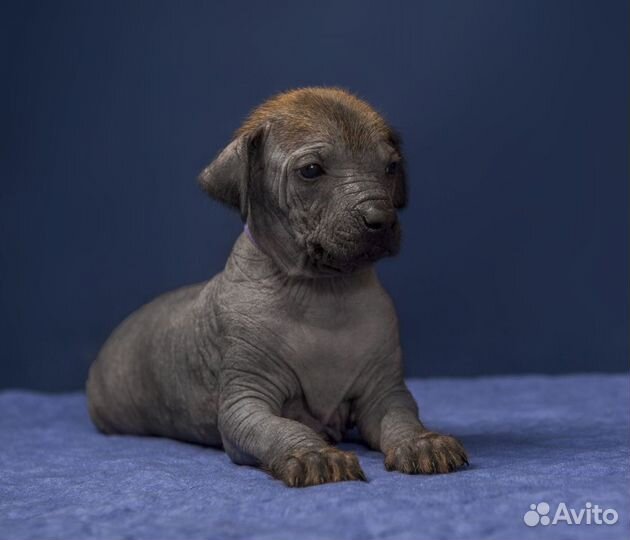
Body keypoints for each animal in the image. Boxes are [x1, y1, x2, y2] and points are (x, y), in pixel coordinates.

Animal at [87, 86, 470, 488]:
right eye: (311, 171)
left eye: (391, 167)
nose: (380, 219)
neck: (325, 293)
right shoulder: (244, 404)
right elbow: (282, 428)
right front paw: (313, 453)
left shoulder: (386, 392)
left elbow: (401, 418)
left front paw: (422, 442)